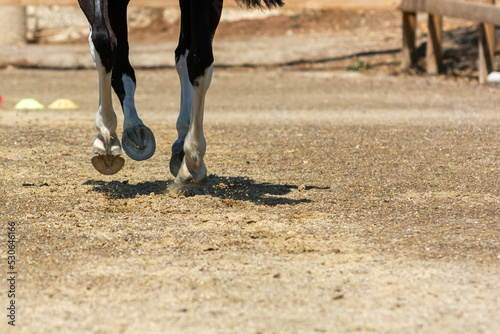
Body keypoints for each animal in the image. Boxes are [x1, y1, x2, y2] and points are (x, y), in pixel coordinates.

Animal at [76, 0, 284, 183]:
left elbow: (199, 59)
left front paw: (192, 159)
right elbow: (103, 41)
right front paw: (107, 140)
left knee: (183, 55)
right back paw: (132, 129)